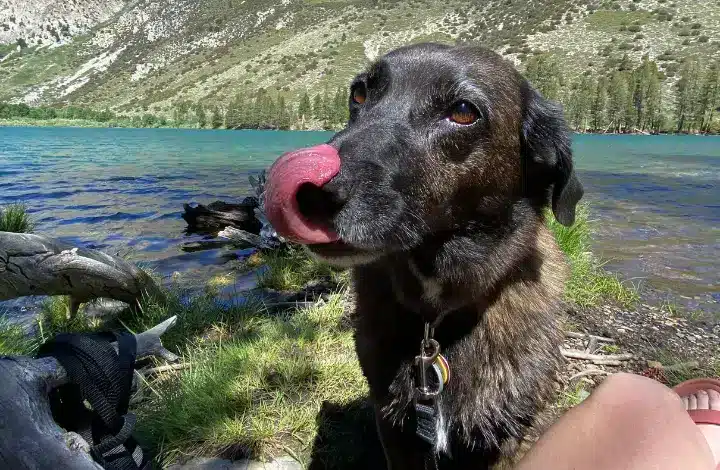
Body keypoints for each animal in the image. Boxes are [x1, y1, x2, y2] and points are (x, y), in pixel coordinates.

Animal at [264, 42, 584, 468]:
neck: (437, 316)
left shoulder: (503, 435)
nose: (309, 193)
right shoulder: (394, 428)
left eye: (463, 111)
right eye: (359, 93)